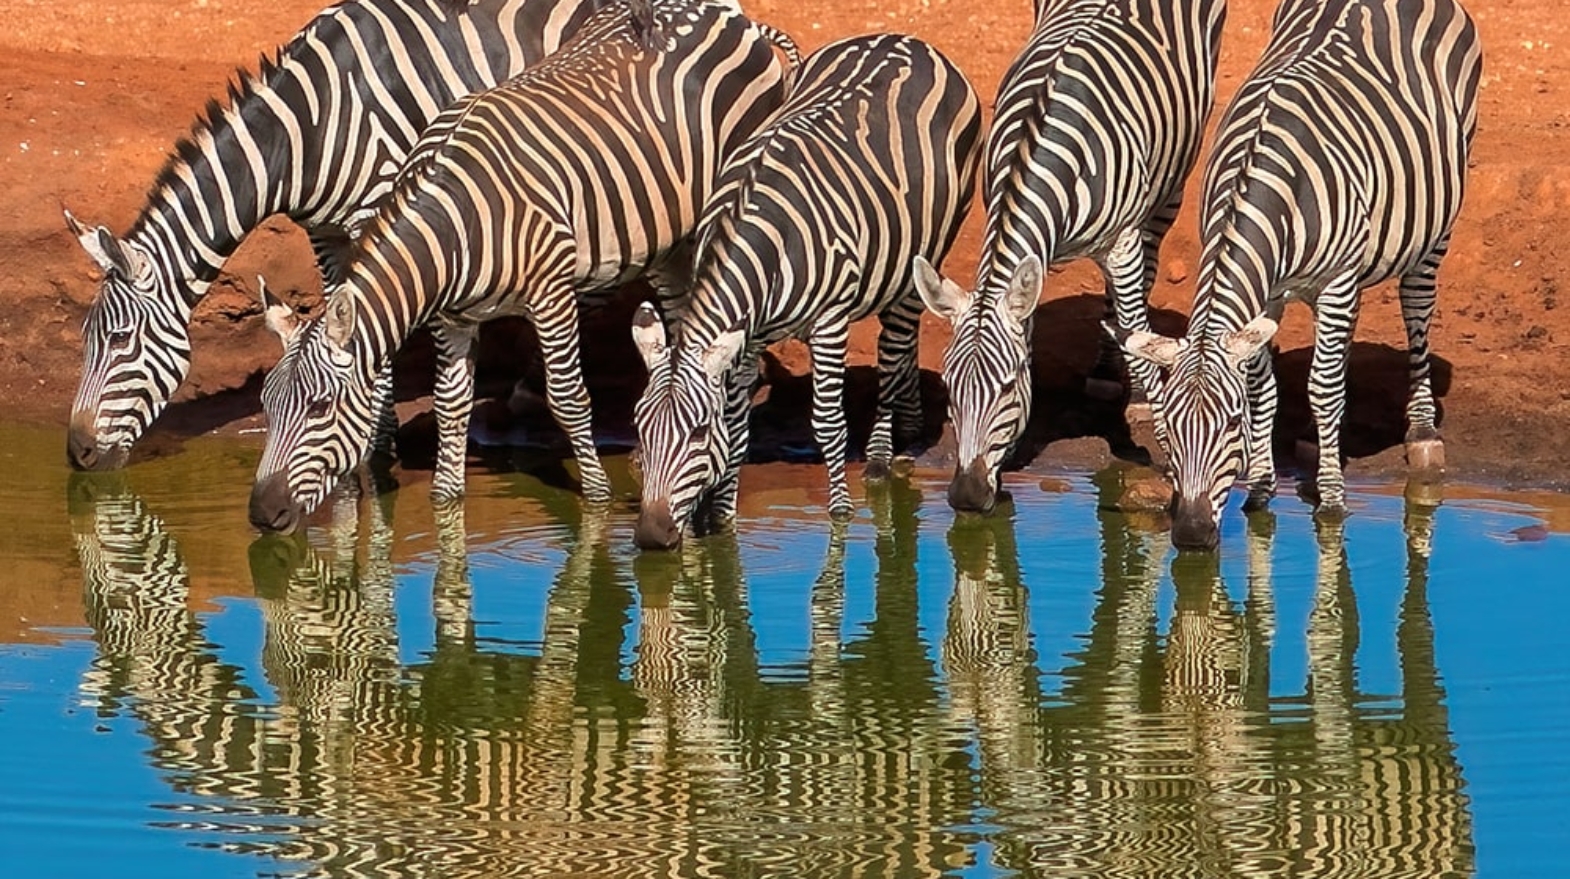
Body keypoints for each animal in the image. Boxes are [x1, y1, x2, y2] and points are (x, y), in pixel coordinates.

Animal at [65, 0, 609, 472]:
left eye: (119, 339)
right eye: (86, 339)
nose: (76, 453)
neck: (307, 131)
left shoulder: (382, 210)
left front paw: (374, 451)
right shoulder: (324, 234)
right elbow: (341, 320)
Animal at [248, 0, 792, 534]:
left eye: (320, 407)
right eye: (267, 405)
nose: (261, 514)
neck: (457, 222)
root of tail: (733, 15)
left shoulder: (551, 294)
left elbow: (569, 399)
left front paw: (598, 501)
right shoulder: (452, 318)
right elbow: (451, 406)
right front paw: (446, 504)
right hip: (666, 244)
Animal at [630, 33, 983, 549]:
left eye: (696, 432)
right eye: (639, 428)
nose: (652, 537)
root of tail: (907, 39)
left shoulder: (829, 320)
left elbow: (828, 422)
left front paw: (840, 512)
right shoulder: (748, 335)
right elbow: (737, 427)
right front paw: (722, 517)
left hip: (927, 249)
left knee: (894, 347)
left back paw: (882, 451)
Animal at [910, 0, 1227, 514]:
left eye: (1005, 386)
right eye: (950, 389)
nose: (967, 497)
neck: (1039, 150)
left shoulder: (1121, 242)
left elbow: (1136, 330)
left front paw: (1159, 434)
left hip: (1173, 172)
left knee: (1146, 269)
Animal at [1113, 0, 1482, 550]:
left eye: (1231, 423)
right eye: (1168, 430)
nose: (1193, 535)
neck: (1268, 186)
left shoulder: (1335, 280)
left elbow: (1324, 388)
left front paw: (1331, 499)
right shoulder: (1265, 295)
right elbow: (1266, 386)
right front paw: (1261, 489)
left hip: (1437, 221)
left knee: (1416, 305)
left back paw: (1421, 433)